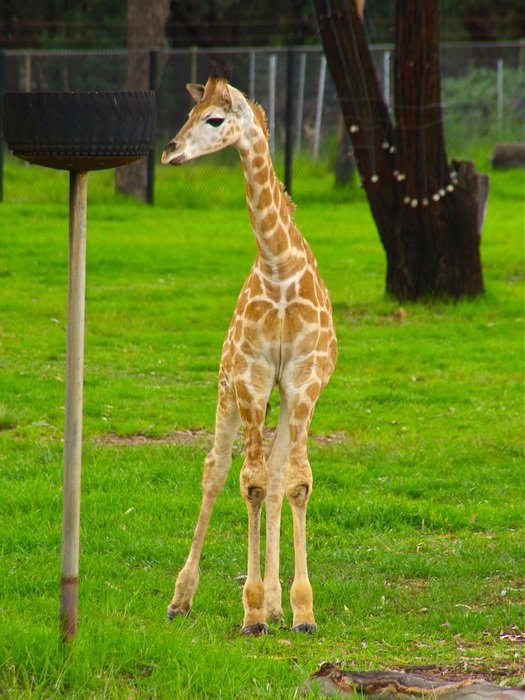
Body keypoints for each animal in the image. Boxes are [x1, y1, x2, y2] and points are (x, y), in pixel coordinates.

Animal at [161, 70, 337, 636]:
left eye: (215, 119)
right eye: (189, 115)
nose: (170, 151)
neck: (278, 266)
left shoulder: (303, 380)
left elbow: (293, 483)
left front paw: (300, 610)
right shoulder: (251, 377)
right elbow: (251, 484)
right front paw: (253, 610)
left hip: (279, 395)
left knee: (276, 474)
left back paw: (281, 605)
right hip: (228, 387)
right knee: (216, 472)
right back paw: (182, 598)